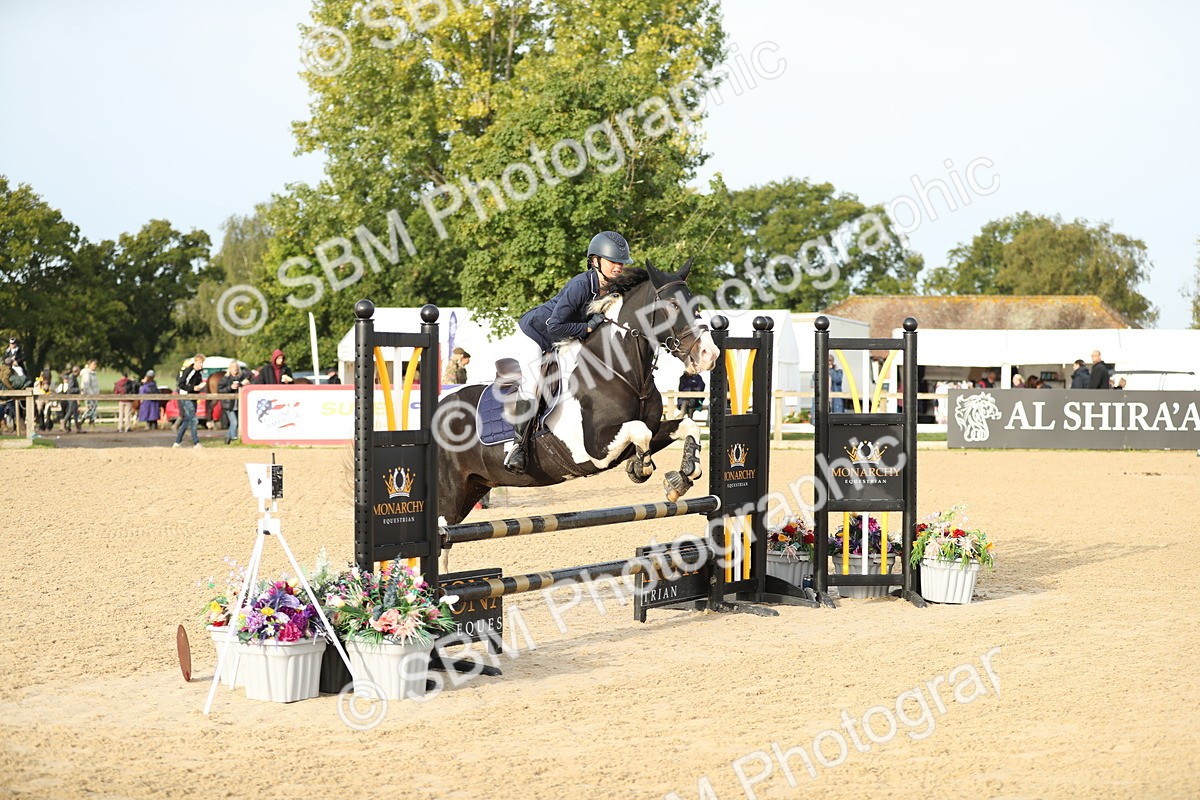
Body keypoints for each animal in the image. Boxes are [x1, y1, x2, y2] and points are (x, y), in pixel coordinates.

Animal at [435, 261, 720, 525]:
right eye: (672, 305)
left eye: (695, 305)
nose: (710, 354)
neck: (620, 371)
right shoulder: (593, 450)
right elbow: (640, 430)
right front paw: (642, 467)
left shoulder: (650, 428)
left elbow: (685, 426)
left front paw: (681, 477)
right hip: (448, 498)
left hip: (473, 488)